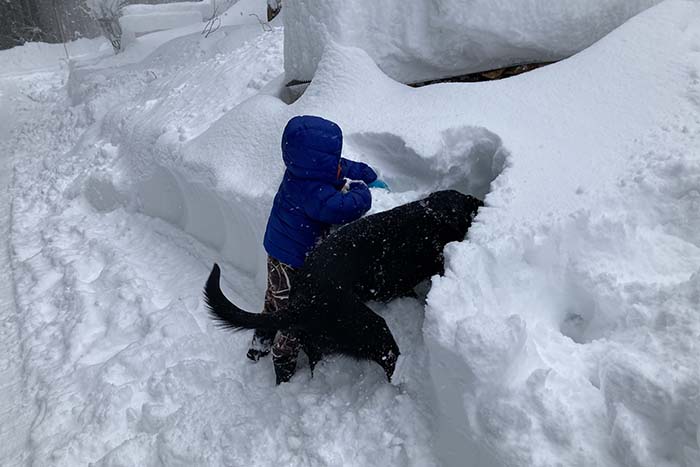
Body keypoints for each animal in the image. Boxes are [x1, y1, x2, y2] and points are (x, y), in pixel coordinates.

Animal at [205, 190, 484, 384]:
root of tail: (300, 304)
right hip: (370, 327)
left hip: (320, 344)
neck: (431, 216)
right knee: (390, 362)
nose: (481, 202)